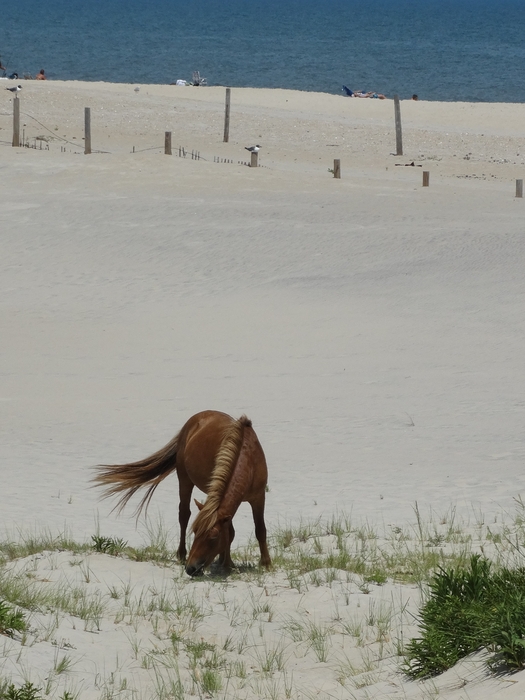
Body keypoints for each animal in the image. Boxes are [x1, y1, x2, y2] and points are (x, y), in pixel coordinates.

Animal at [92, 408, 270, 576]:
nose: (191, 568)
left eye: (213, 537)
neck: (247, 459)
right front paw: (227, 564)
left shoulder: (258, 497)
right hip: (185, 480)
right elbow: (230, 532)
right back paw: (182, 554)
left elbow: (259, 529)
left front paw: (265, 563)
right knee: (184, 515)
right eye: (195, 531)